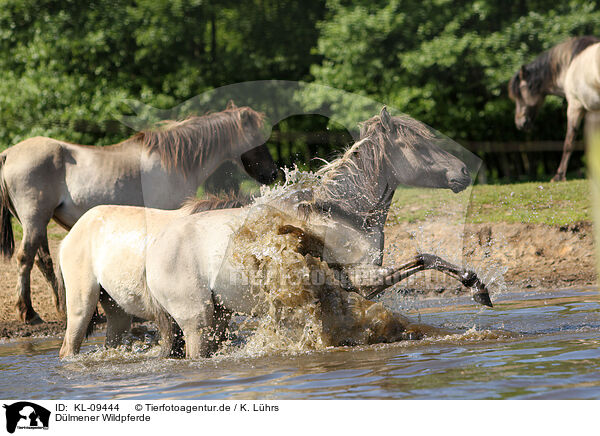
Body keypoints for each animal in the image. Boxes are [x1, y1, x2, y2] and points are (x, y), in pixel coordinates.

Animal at [0, 103, 276, 324]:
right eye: (258, 139)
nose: (273, 173)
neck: (175, 162)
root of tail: (8, 154)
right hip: (34, 220)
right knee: (25, 259)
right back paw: (29, 313)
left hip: (38, 223)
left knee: (43, 261)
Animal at [56, 107, 490, 360]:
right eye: (418, 144)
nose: (463, 172)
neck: (338, 210)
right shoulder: (364, 280)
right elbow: (425, 258)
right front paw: (477, 287)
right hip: (180, 318)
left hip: (184, 316)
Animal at [506, 35, 600, 182]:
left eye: (519, 94)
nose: (519, 123)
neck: (570, 65)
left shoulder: (575, 107)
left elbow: (568, 142)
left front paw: (559, 176)